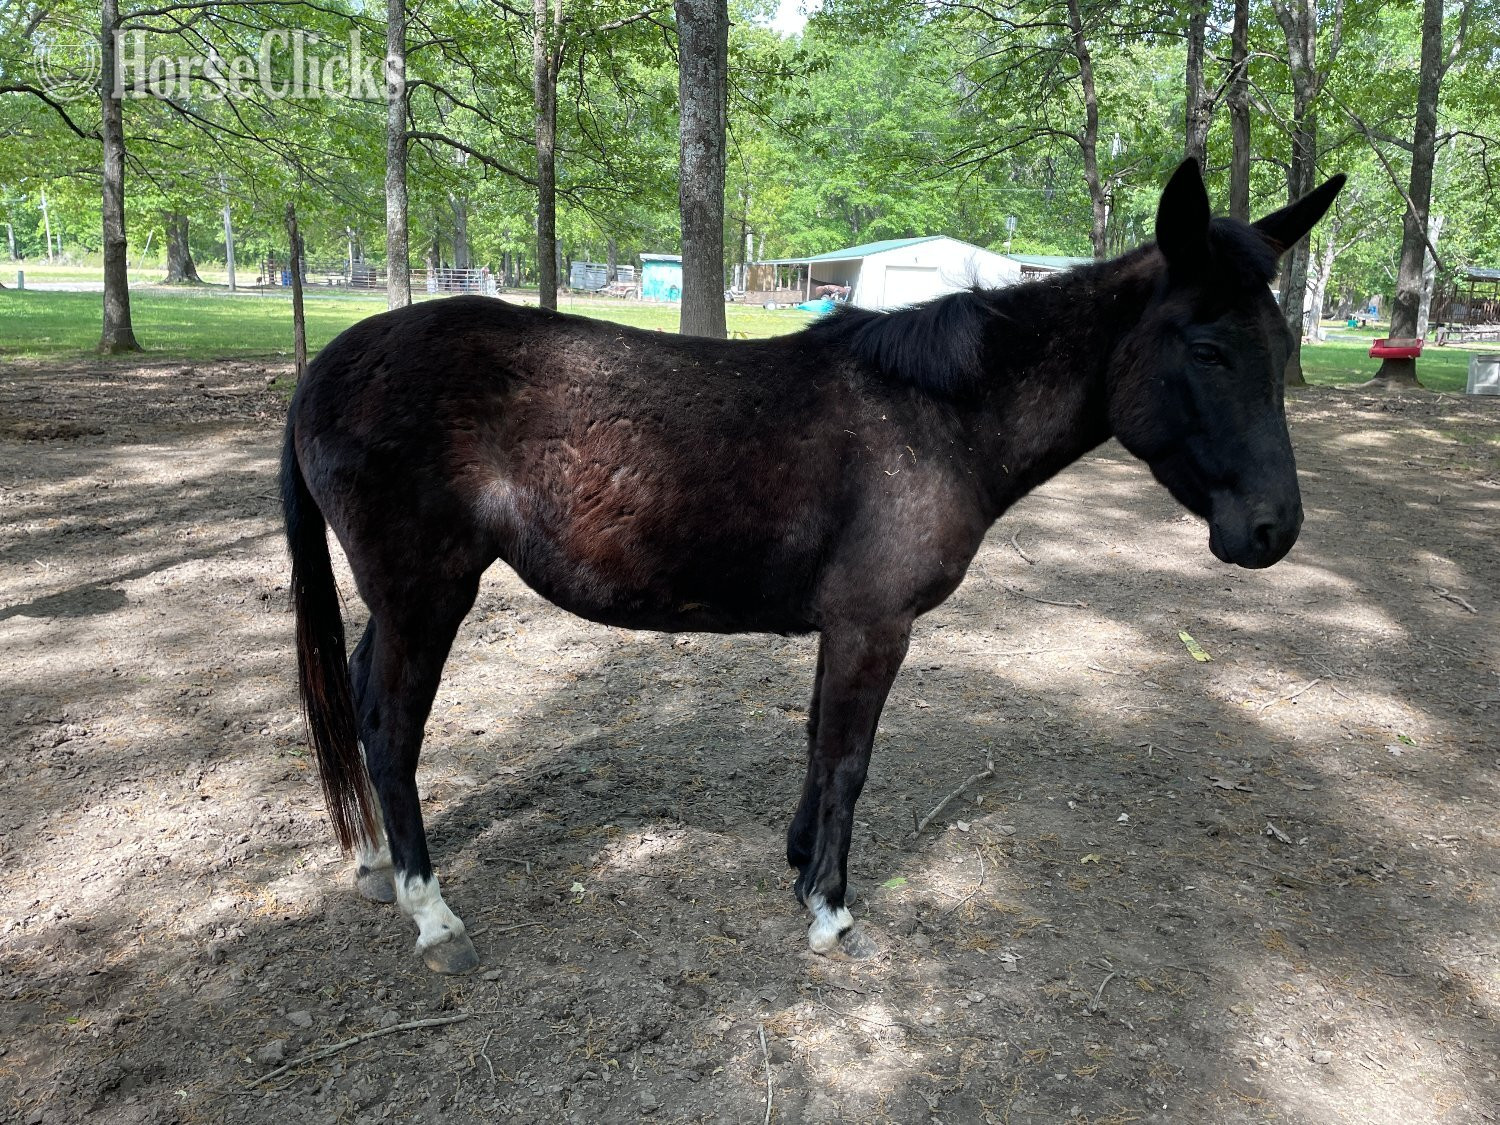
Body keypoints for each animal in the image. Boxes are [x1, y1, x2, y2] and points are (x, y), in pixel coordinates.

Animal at [282, 159, 1344, 973]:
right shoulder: (876, 623)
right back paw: (431, 910)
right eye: (1207, 347)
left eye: (1282, 343)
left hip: (405, 597)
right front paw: (832, 908)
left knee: (362, 701)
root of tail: (329, 362)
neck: (935, 416)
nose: (1273, 528)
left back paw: (376, 867)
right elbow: (847, 758)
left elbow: (816, 745)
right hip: (427, 593)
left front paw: (798, 867)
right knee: (391, 725)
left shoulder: (846, 626)